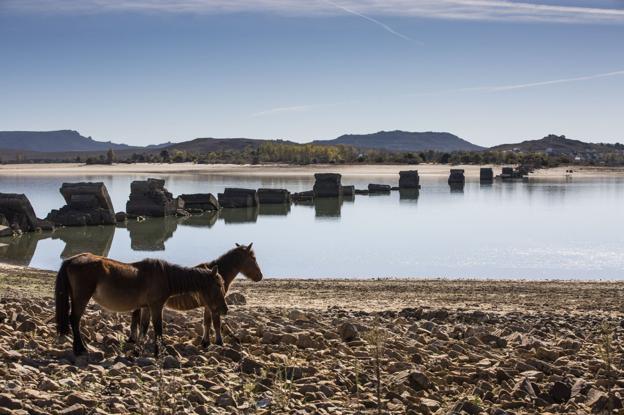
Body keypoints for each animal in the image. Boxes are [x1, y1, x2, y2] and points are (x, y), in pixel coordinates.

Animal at [54, 254, 228, 358]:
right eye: (219, 285)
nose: (225, 309)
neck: (165, 276)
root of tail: (71, 260)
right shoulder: (156, 306)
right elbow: (158, 329)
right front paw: (159, 352)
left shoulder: (146, 307)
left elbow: (143, 328)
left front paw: (139, 350)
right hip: (81, 298)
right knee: (74, 320)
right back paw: (80, 348)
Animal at [129, 244, 260, 348]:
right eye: (253, 258)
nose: (260, 276)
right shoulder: (214, 305)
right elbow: (216, 323)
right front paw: (219, 342)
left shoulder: (208, 305)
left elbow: (207, 322)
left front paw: (205, 342)